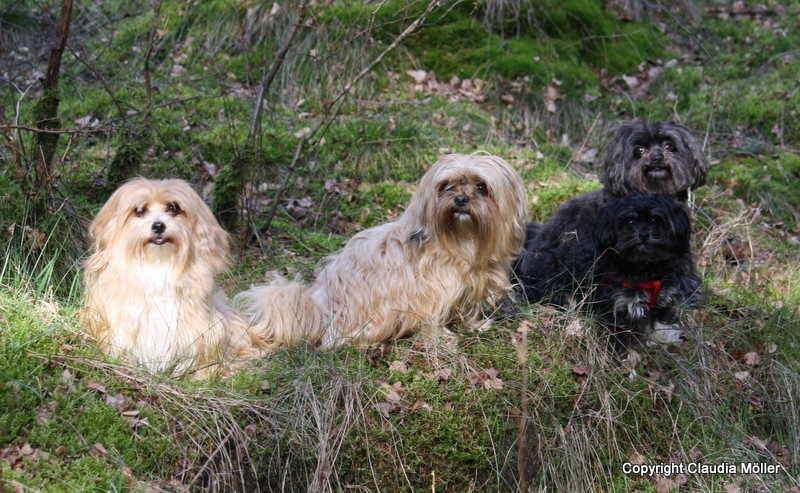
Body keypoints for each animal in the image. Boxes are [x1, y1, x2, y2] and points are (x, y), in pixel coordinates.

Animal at [234, 152, 528, 348]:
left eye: (482, 187)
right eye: (446, 186)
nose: (460, 199)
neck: (462, 240)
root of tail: (319, 305)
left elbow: (468, 310)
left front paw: (474, 326)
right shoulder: (433, 291)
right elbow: (433, 319)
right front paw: (442, 339)